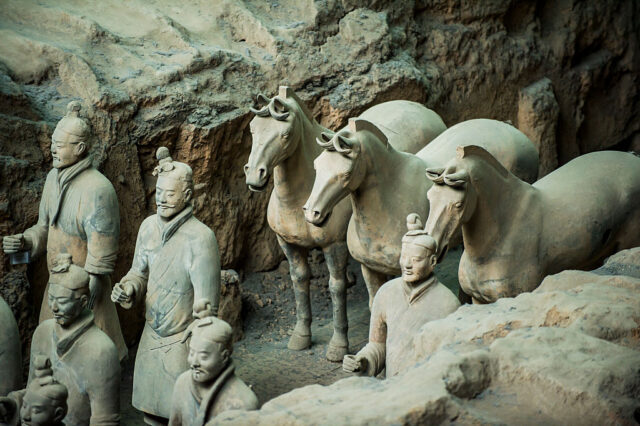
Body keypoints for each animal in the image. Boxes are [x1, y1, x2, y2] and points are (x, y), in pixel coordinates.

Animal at [245, 85, 444, 360]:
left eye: (284, 135)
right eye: (252, 129)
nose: (254, 176)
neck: (298, 197)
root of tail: (421, 108)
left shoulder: (335, 246)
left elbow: (336, 288)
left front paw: (338, 346)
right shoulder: (287, 243)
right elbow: (299, 281)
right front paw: (301, 336)